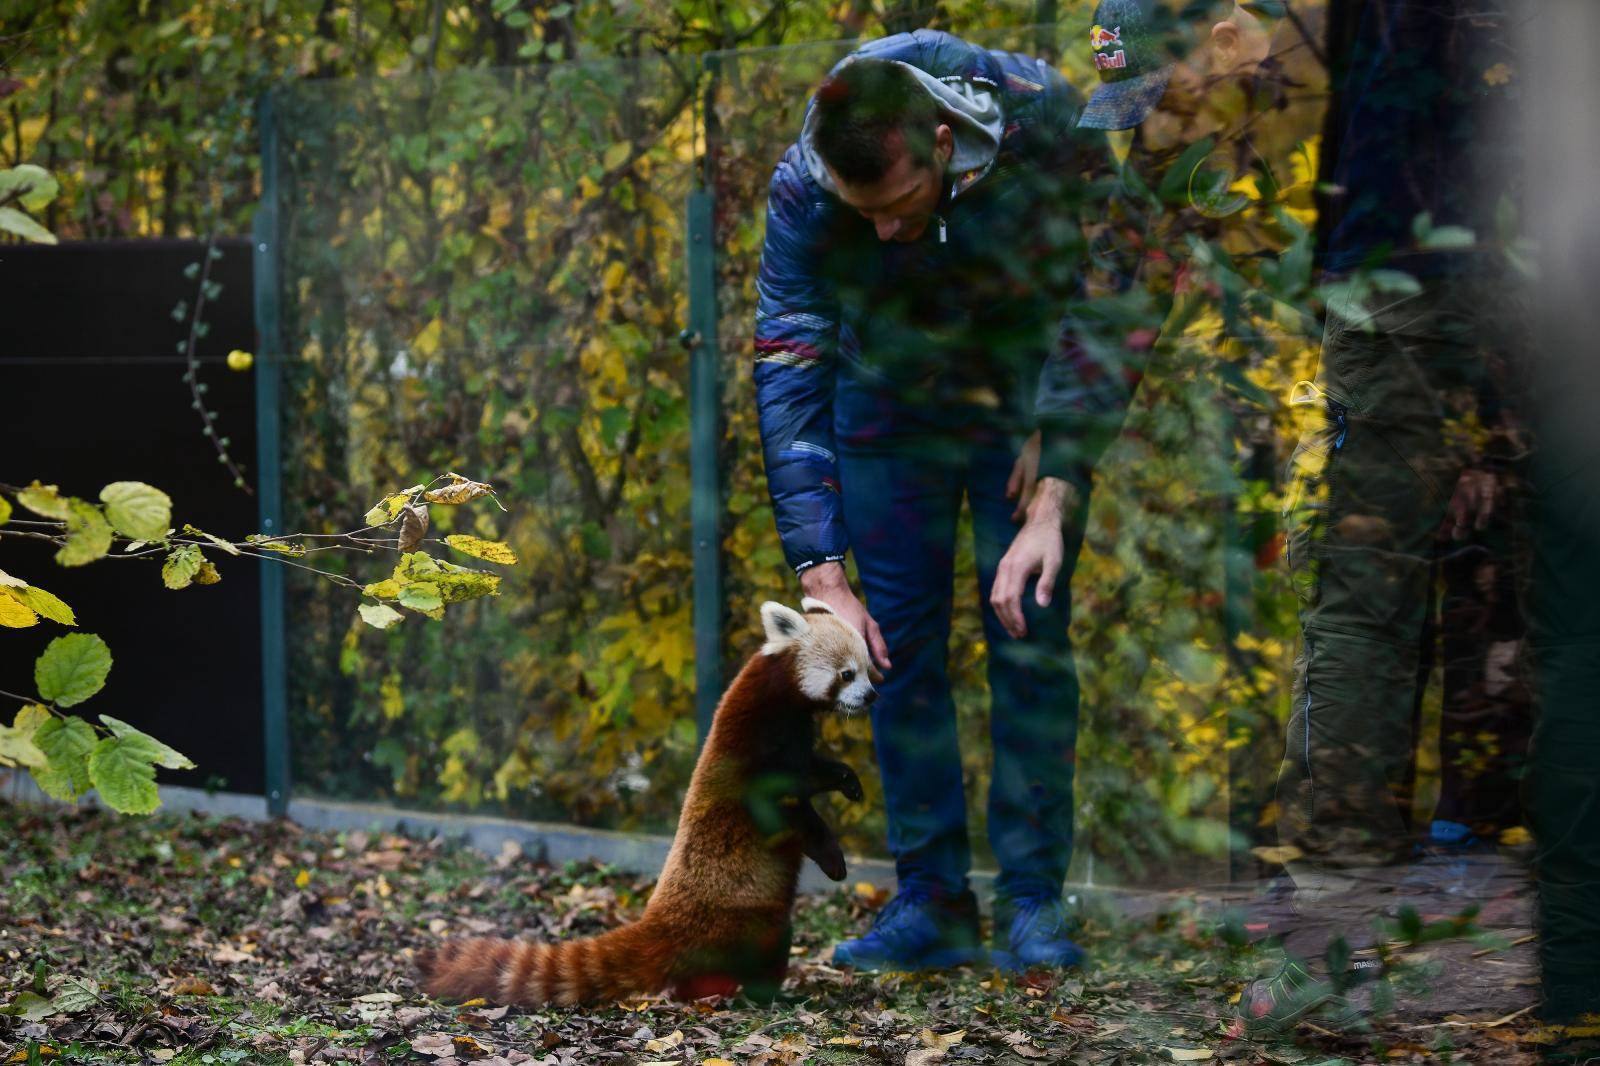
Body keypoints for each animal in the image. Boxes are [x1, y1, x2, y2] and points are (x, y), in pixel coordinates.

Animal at [412, 598, 883, 1005]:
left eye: (868, 670)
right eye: (847, 674)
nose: (872, 696)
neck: (780, 697)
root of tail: (661, 924)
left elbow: (814, 774)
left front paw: (847, 780)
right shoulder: (761, 752)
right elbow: (793, 810)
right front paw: (833, 857)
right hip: (748, 922)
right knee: (768, 947)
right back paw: (769, 995)